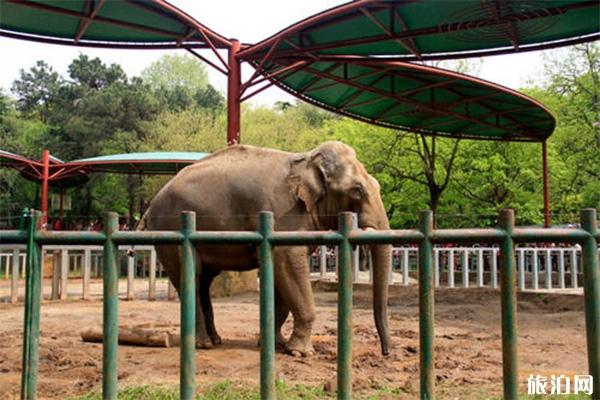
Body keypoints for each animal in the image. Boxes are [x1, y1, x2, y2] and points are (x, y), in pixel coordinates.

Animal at [142, 141, 392, 356]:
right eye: (357, 190)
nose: (385, 352)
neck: (306, 159)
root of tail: (152, 203)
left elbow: (281, 279)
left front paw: (276, 345)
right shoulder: (284, 214)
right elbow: (289, 266)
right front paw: (300, 353)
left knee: (203, 281)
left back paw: (215, 340)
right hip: (171, 230)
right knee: (190, 278)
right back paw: (203, 344)